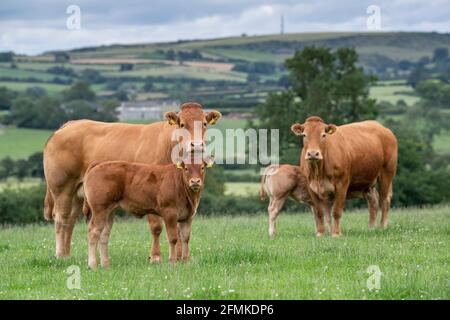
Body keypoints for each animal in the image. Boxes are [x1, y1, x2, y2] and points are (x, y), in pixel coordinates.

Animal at [81, 156, 214, 268]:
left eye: (202, 167)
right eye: (186, 168)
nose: (195, 181)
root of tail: (99, 163)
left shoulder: (188, 216)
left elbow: (186, 238)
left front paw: (186, 262)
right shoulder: (170, 213)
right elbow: (173, 238)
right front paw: (172, 262)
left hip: (109, 211)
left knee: (104, 234)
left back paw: (105, 264)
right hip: (99, 209)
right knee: (93, 231)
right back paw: (92, 265)